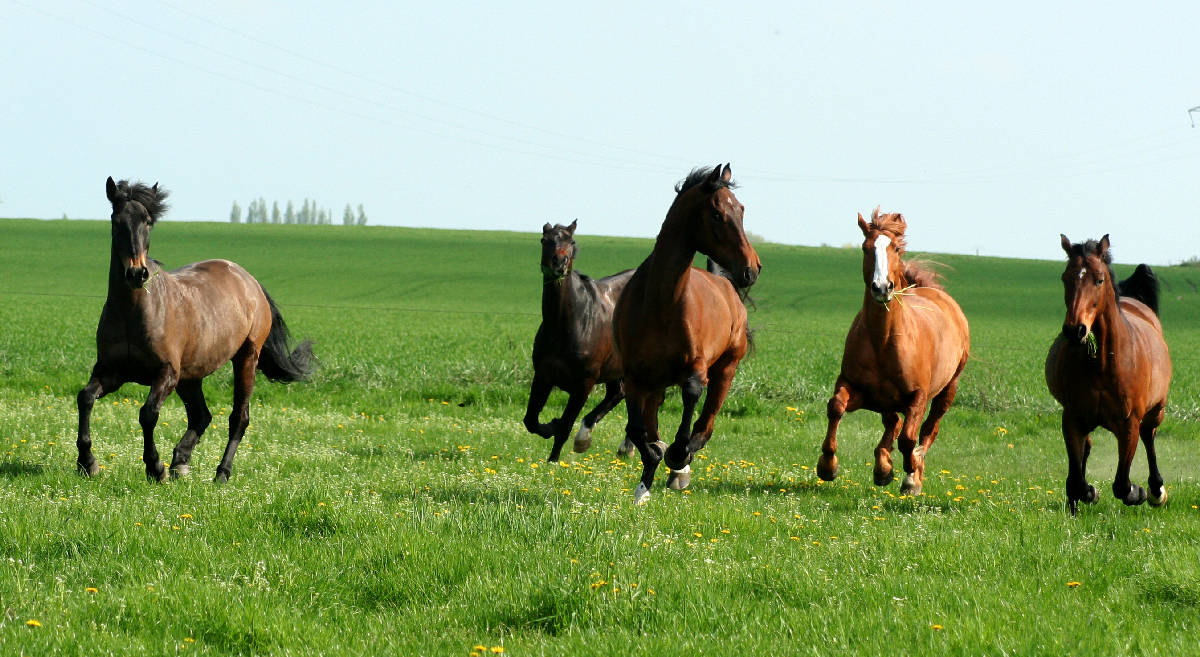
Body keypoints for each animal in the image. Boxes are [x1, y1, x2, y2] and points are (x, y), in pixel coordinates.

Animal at [76, 178, 314, 481]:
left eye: (148, 221)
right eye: (116, 221)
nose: (137, 273)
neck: (136, 312)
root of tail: (250, 281)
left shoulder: (166, 373)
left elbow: (148, 414)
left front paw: (155, 467)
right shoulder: (111, 372)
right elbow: (85, 398)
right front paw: (87, 462)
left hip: (246, 358)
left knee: (238, 417)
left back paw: (221, 473)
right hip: (191, 375)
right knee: (201, 416)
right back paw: (180, 462)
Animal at [525, 220, 638, 462]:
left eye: (571, 241)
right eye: (544, 240)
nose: (558, 264)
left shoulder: (584, 383)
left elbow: (565, 426)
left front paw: (553, 461)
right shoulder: (543, 375)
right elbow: (531, 420)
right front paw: (550, 426)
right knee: (618, 393)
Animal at [614, 164, 763, 503]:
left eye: (742, 210)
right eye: (718, 214)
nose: (752, 269)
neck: (661, 304)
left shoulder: (697, 364)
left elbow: (693, 392)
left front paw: (678, 454)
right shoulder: (634, 375)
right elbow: (638, 430)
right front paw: (649, 471)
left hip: (726, 368)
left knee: (706, 422)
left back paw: (682, 461)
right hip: (655, 382)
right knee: (652, 420)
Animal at [820, 211, 969, 498]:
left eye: (896, 248)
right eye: (865, 248)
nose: (881, 288)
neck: (883, 341)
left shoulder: (917, 396)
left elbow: (909, 439)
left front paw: (912, 474)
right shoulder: (853, 386)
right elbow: (836, 407)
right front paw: (827, 465)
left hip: (949, 388)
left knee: (928, 430)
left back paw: (911, 470)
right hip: (885, 400)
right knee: (893, 423)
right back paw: (883, 468)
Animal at [1046, 236, 1166, 513]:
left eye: (1099, 280)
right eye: (1065, 278)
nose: (1075, 330)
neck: (1103, 364)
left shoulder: (1130, 422)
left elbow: (1122, 483)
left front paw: (1137, 492)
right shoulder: (1073, 418)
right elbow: (1077, 477)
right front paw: (1087, 493)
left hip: (1157, 409)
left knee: (1149, 437)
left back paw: (1156, 491)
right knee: (1087, 449)